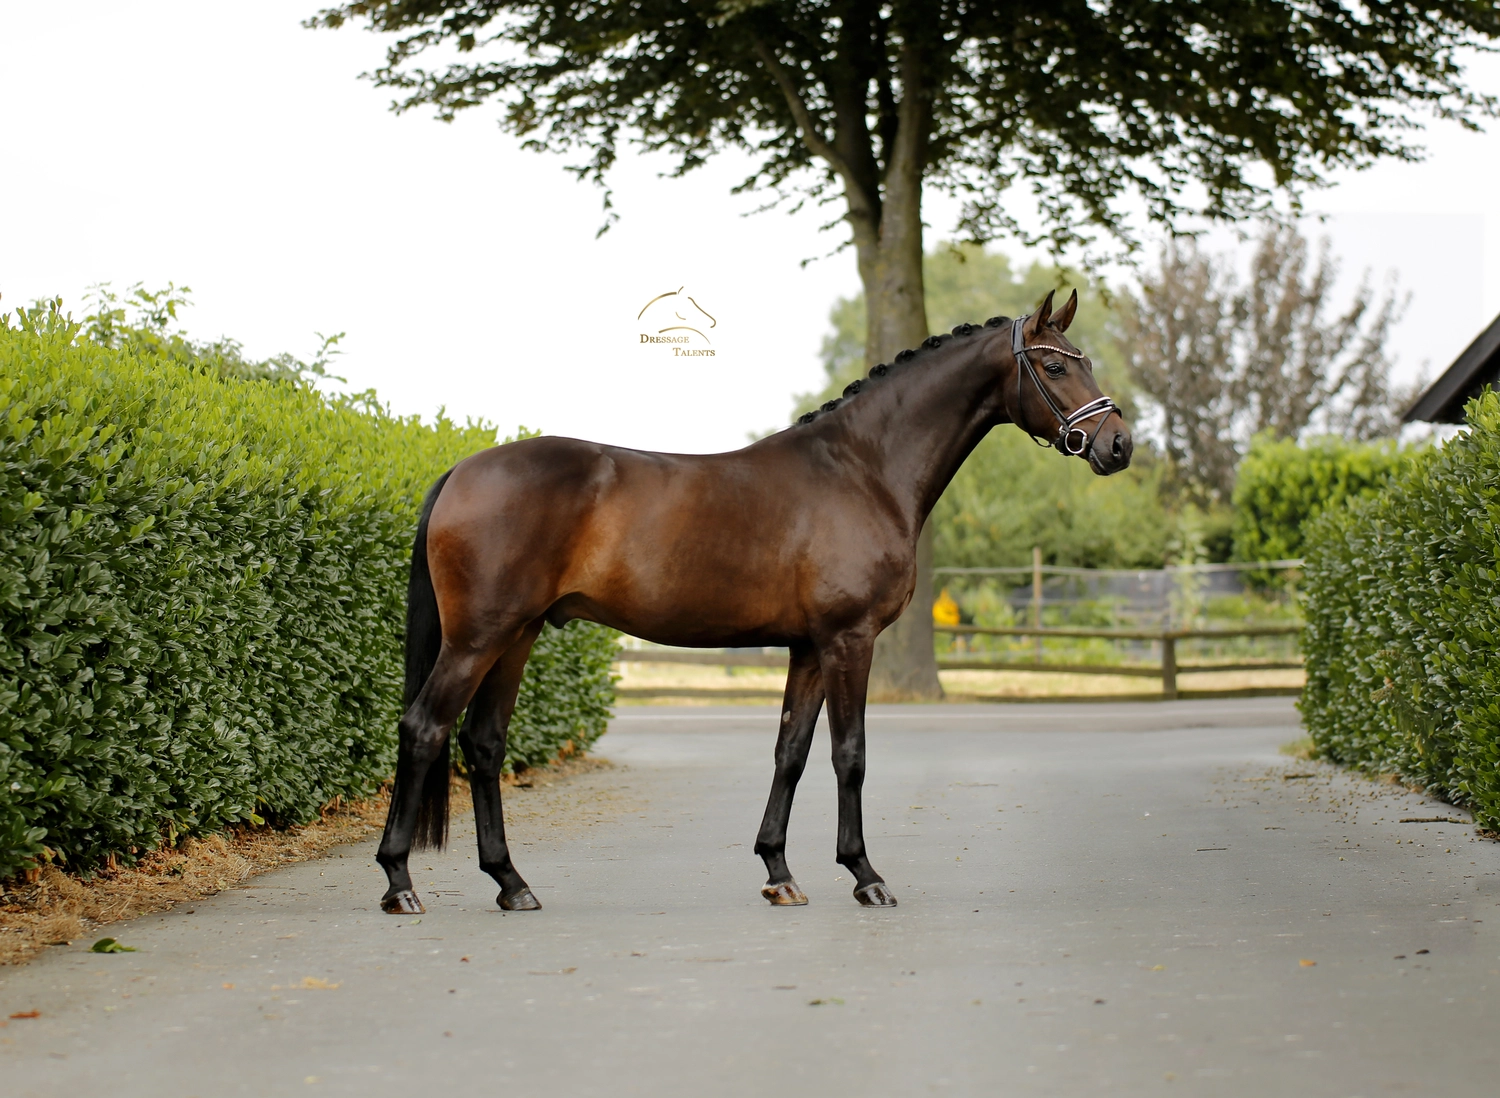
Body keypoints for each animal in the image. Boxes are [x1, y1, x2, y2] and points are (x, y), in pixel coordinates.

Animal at [376, 289, 1131, 915]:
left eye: (1085, 362)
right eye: (1054, 367)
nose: (1118, 445)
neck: (863, 469)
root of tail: (460, 470)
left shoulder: (807, 648)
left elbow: (790, 752)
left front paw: (779, 872)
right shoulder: (849, 639)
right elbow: (850, 754)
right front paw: (865, 875)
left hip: (519, 634)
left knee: (483, 741)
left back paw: (511, 883)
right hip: (478, 638)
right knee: (423, 728)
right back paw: (400, 883)